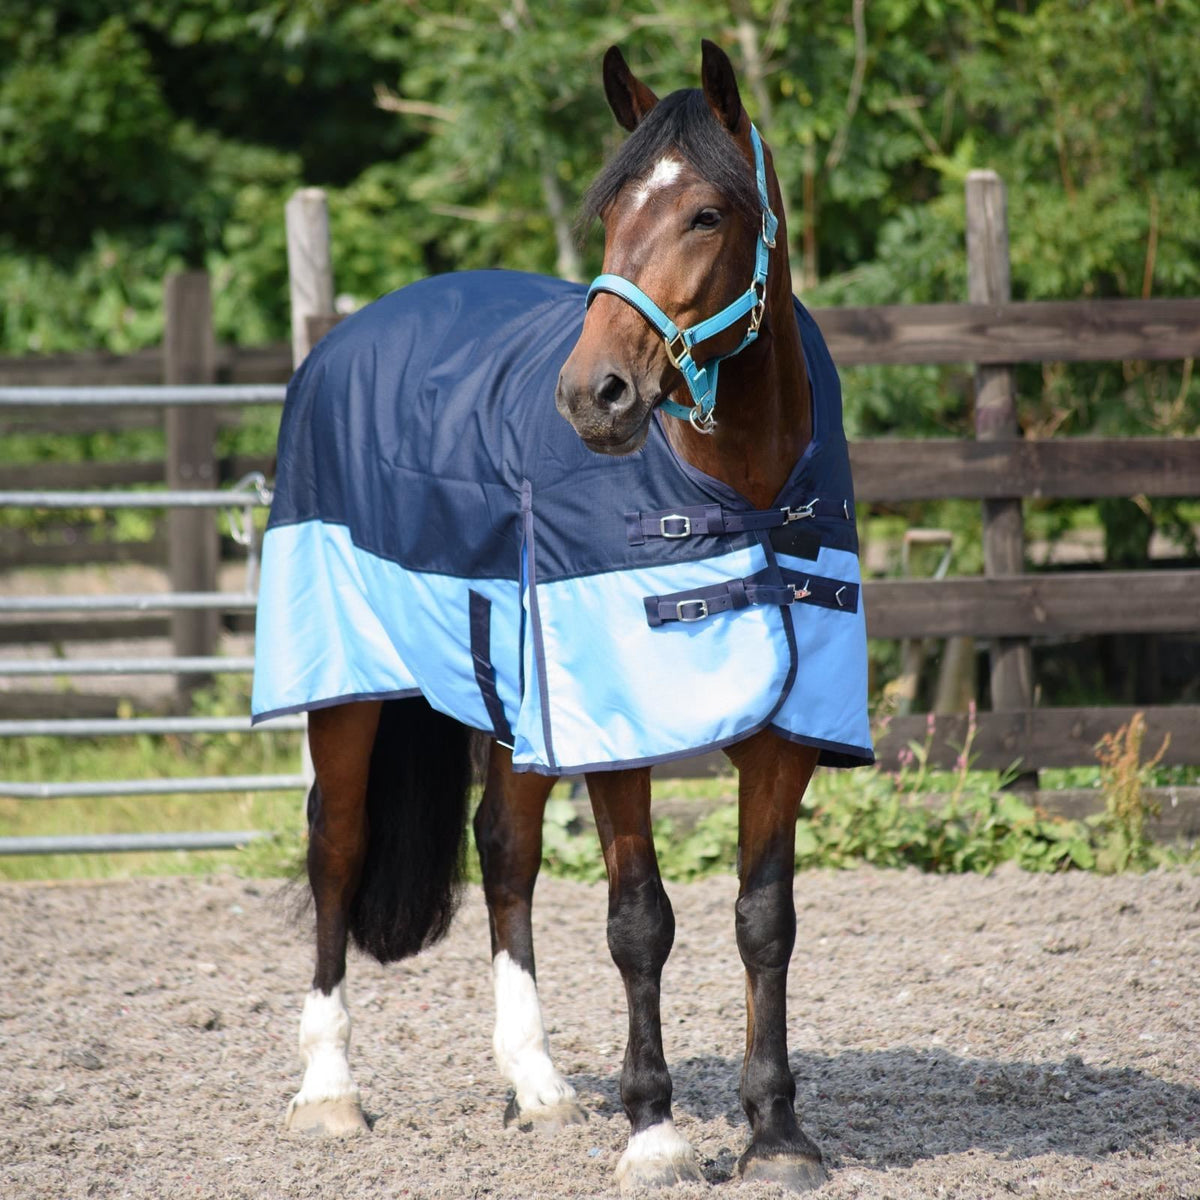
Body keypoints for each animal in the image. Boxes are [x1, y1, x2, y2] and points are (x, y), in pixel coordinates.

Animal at [252, 40, 871, 1193]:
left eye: (706, 214)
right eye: (611, 210)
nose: (596, 395)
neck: (741, 493)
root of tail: (346, 336)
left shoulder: (785, 737)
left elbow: (765, 920)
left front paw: (775, 1133)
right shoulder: (616, 730)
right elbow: (640, 922)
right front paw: (655, 1130)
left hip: (514, 697)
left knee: (505, 852)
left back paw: (536, 1086)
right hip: (346, 690)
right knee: (336, 851)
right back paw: (328, 1092)